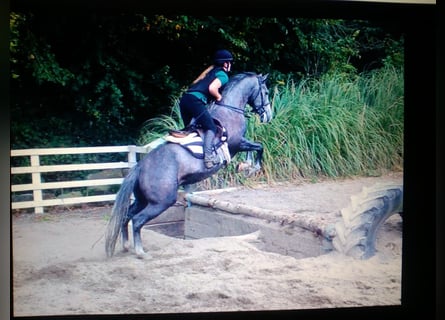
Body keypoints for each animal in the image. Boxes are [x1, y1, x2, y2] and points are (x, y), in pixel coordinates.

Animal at [104, 72, 272, 258]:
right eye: (266, 91)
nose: (268, 115)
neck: (230, 109)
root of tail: (140, 167)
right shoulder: (237, 143)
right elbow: (259, 146)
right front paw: (251, 167)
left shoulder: (240, 143)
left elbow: (255, 147)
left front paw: (245, 166)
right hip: (161, 201)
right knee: (138, 220)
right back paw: (141, 252)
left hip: (143, 199)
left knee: (127, 216)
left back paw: (126, 245)